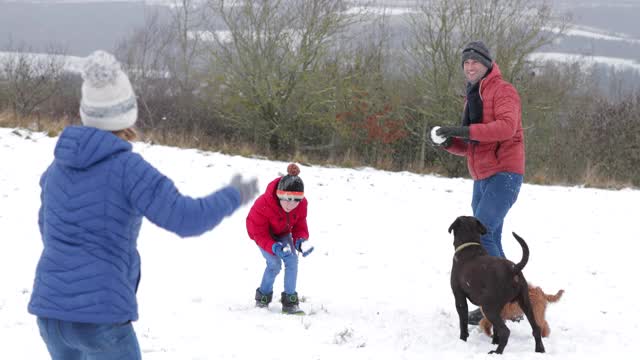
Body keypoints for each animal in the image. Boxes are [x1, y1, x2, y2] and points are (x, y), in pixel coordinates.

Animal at [448, 217, 544, 354]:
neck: (469, 245)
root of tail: (513, 269)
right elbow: (495, 329)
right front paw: (494, 341)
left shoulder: (459, 297)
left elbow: (463, 323)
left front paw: (462, 341)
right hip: (524, 302)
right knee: (536, 328)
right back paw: (539, 350)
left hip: (488, 308)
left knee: (505, 331)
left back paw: (497, 352)